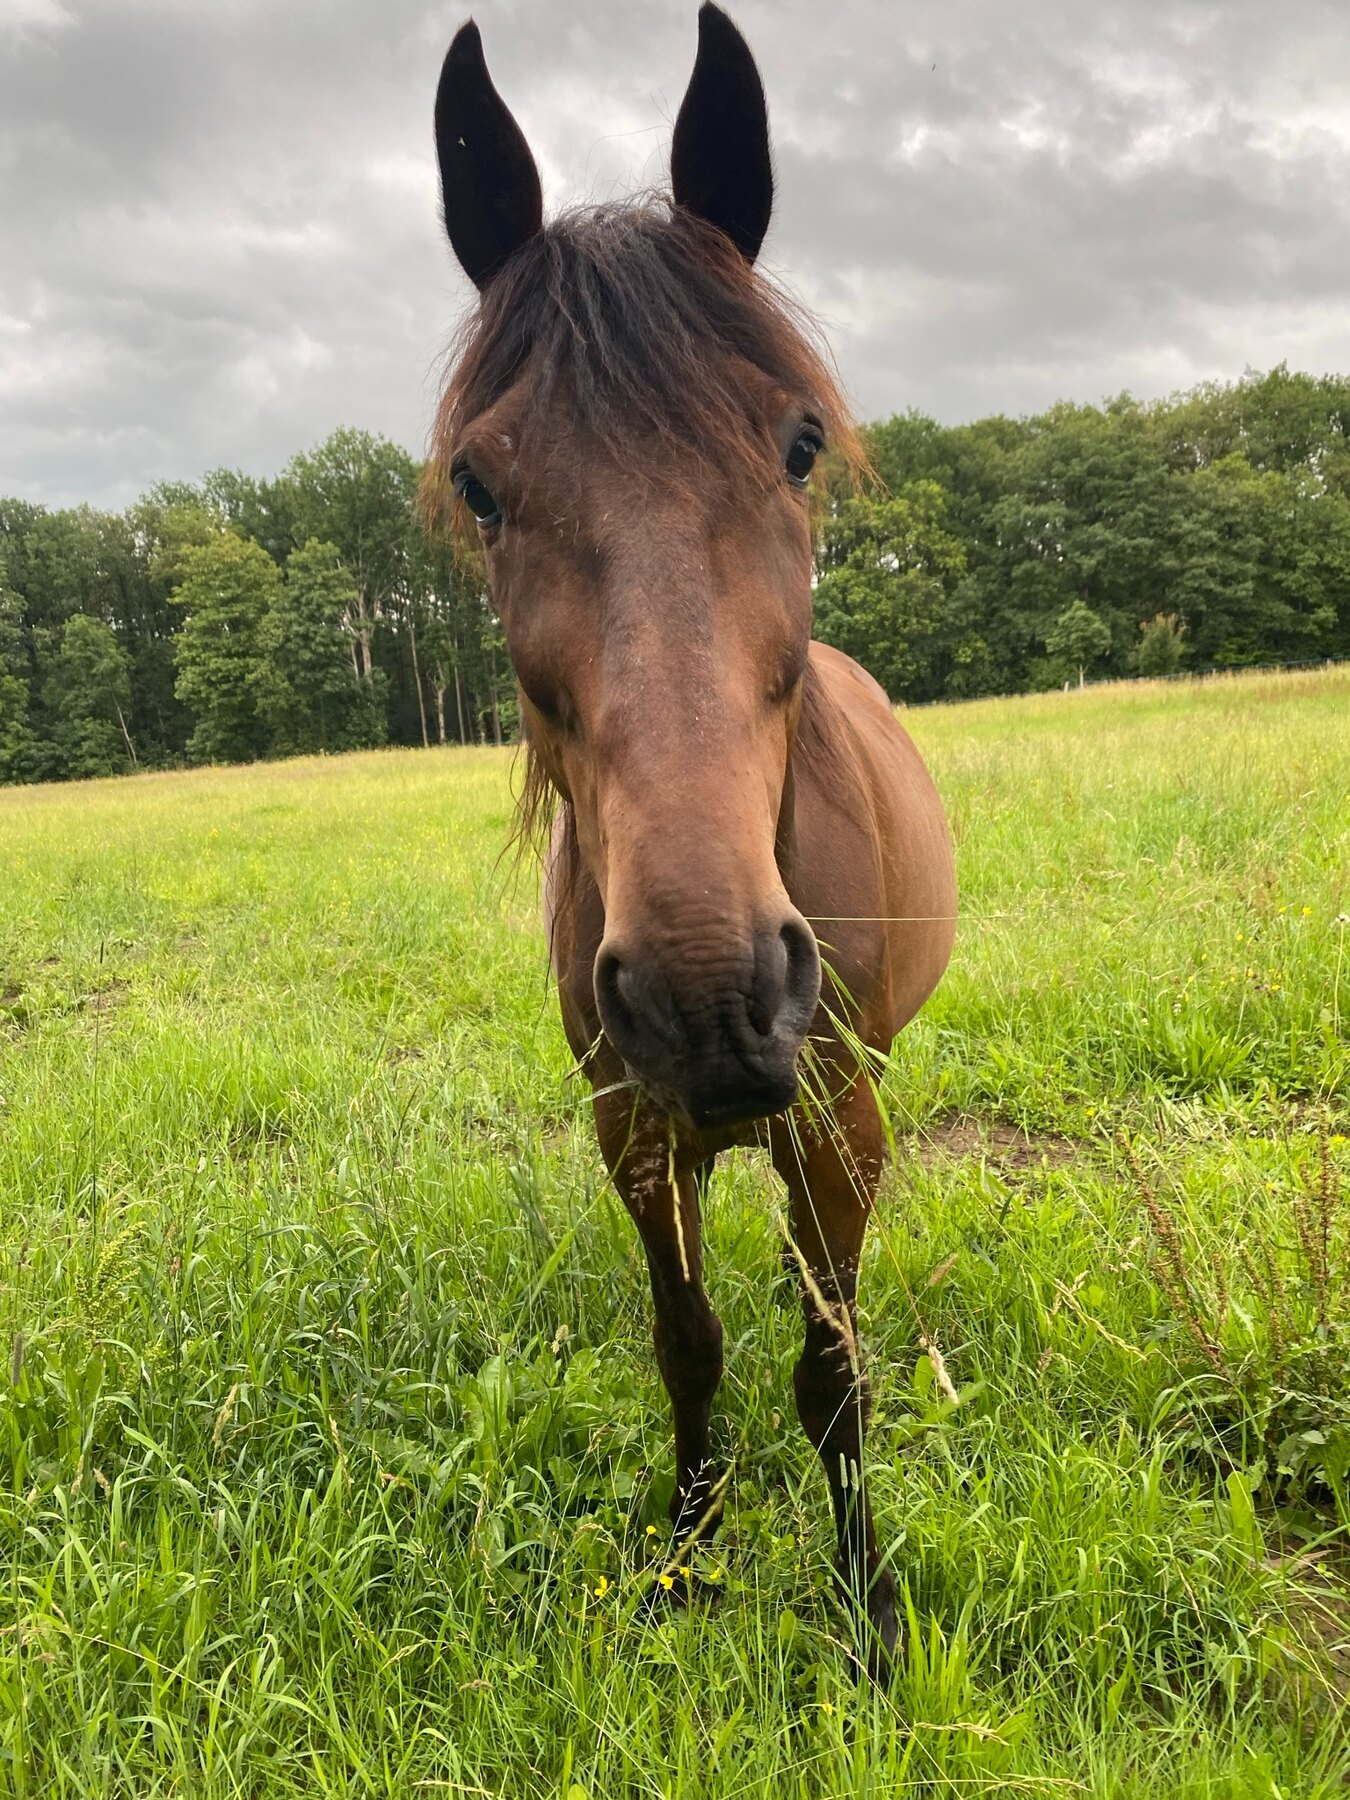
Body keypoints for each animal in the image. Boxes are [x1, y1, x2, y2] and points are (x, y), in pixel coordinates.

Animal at [427, 3, 956, 1675]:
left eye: (797, 446)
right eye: (479, 484)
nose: (710, 992)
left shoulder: (834, 1115)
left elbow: (829, 1365)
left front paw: (863, 1606)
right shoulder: (634, 1129)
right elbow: (690, 1347)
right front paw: (687, 1561)